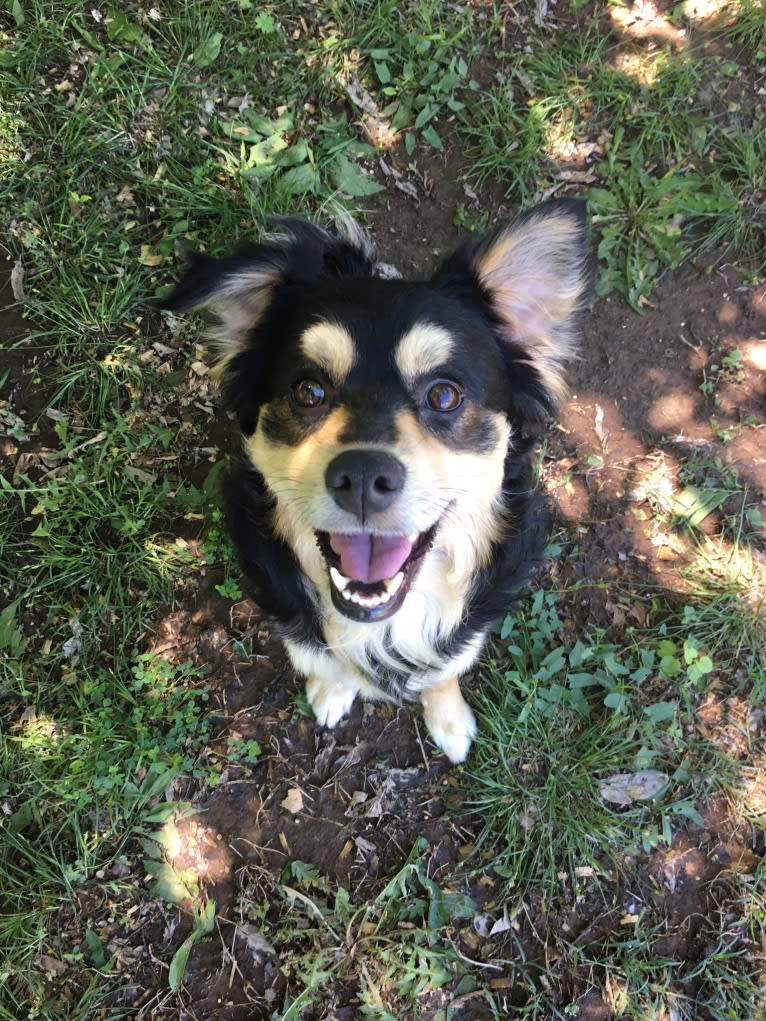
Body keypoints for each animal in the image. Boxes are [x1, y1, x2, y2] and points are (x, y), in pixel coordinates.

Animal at [162, 199, 592, 763]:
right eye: (308, 390)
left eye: (444, 395)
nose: (363, 476)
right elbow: (320, 658)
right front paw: (331, 690)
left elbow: (443, 670)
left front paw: (448, 719)